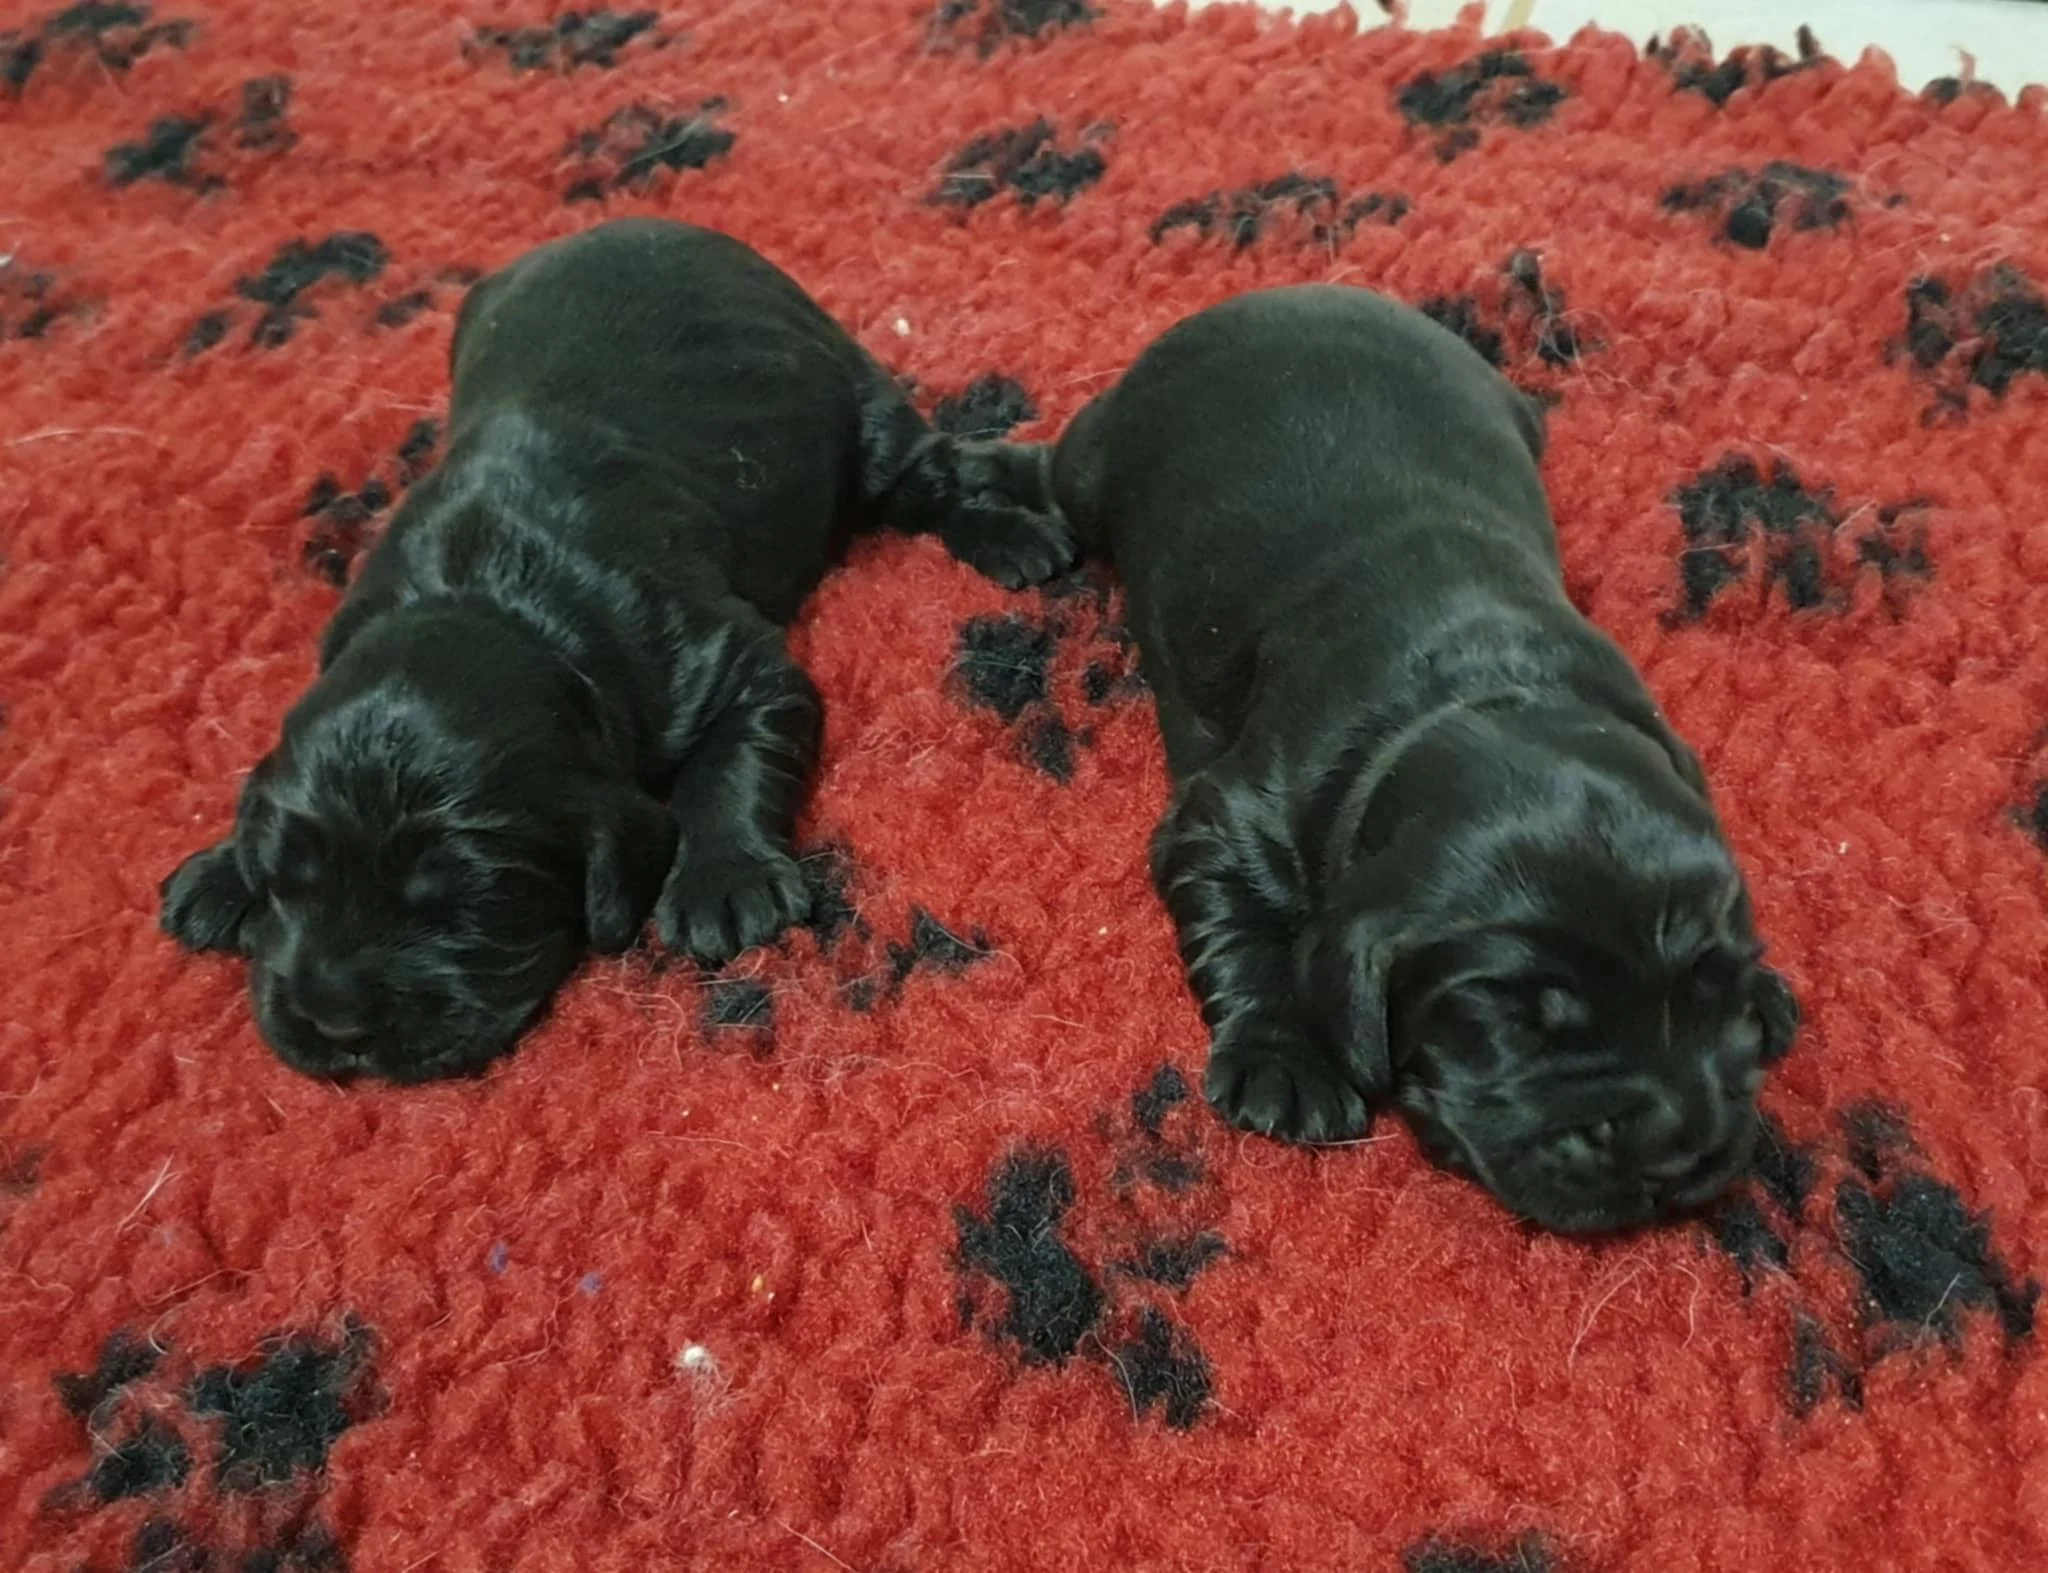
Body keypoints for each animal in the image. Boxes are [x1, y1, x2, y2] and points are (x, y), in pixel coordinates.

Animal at [159, 217, 1075, 1082]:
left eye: (467, 903)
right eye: (286, 879)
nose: (337, 1028)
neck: (487, 596)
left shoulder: (717, 655)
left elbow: (733, 757)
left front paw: (724, 882)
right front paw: (219, 870)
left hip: (860, 402)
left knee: (930, 476)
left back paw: (1016, 537)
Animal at [1000, 284, 1799, 1233]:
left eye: (1714, 985)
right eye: (1517, 1025)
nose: (1682, 1156)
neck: (1481, 696)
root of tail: (1291, 290)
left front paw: (1770, 994)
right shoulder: (1232, 817)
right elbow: (1237, 922)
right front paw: (1285, 1061)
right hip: (1102, 457)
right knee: (1059, 468)